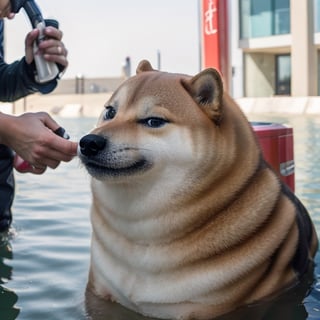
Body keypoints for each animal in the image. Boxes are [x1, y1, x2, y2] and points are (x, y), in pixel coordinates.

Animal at [77, 60, 318, 320]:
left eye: (153, 121)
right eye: (110, 112)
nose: (89, 142)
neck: (142, 234)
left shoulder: (202, 307)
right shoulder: (101, 293)